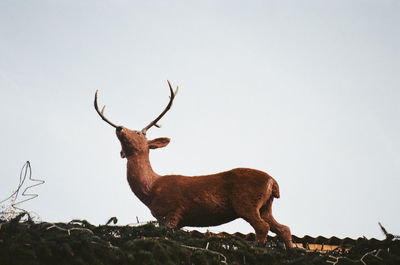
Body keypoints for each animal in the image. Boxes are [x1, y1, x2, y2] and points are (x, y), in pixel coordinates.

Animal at [94, 81, 294, 248]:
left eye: (139, 133)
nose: (119, 127)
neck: (151, 189)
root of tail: (272, 181)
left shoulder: (172, 212)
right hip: (266, 205)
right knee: (283, 228)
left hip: (246, 201)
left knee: (262, 227)